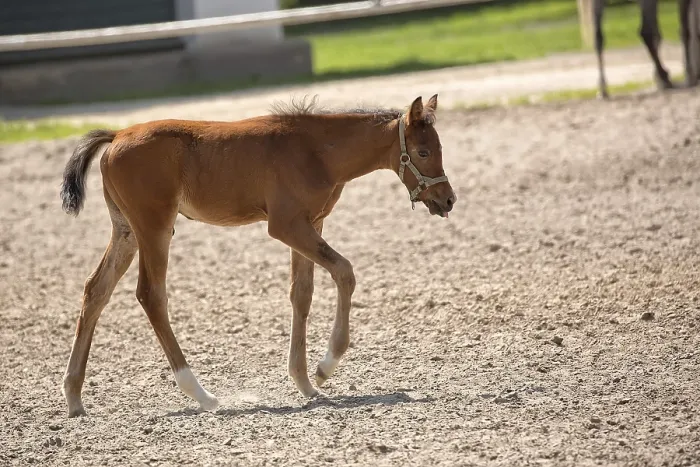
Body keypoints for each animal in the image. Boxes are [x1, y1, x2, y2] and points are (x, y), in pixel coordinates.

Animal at [59, 94, 456, 417]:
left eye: (439, 148)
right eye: (423, 152)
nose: (448, 199)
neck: (317, 151)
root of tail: (116, 136)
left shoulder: (311, 223)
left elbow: (302, 293)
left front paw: (304, 381)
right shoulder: (285, 226)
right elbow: (344, 271)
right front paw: (324, 367)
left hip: (126, 231)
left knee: (96, 290)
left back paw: (74, 397)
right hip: (154, 227)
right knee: (150, 295)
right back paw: (202, 395)